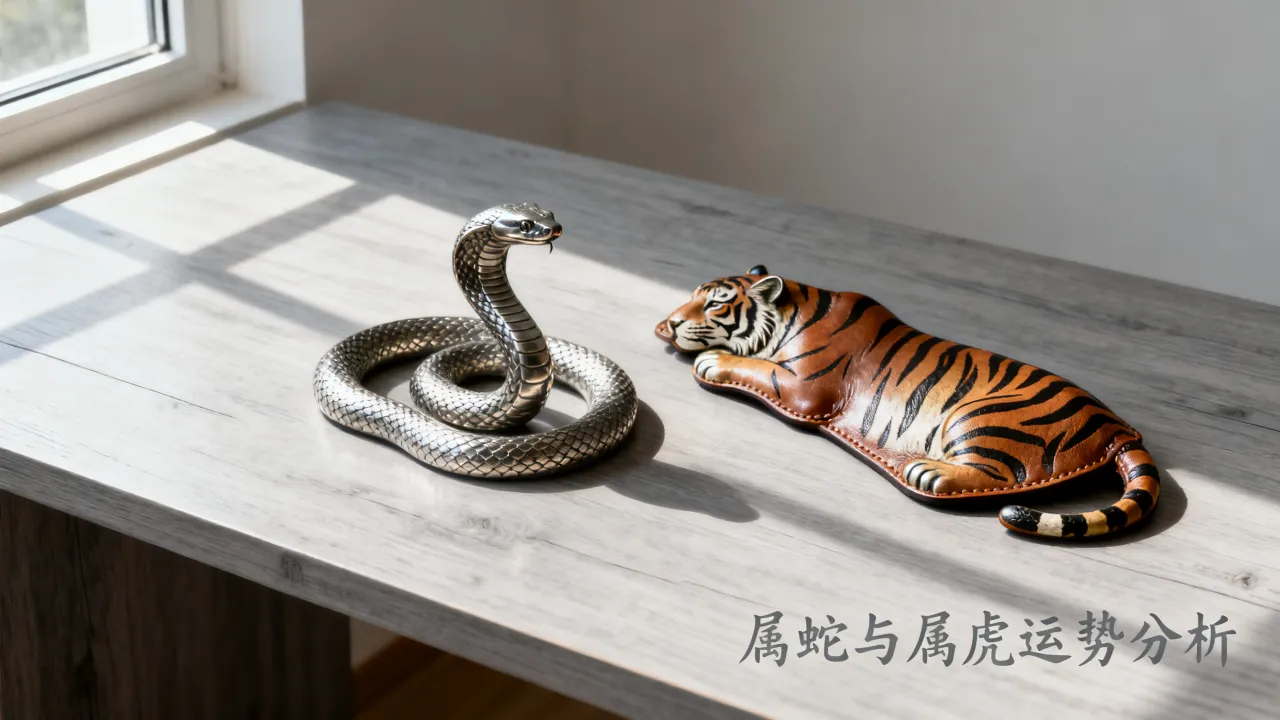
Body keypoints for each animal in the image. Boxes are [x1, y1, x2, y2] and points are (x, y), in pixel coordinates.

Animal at [654, 265, 1160, 540]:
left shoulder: (802, 388)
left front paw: (712, 361)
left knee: (994, 474)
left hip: (978, 417)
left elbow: (756, 369)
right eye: (693, 295)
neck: (793, 311)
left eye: (715, 304)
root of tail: (1114, 428)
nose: (669, 323)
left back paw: (927, 471)